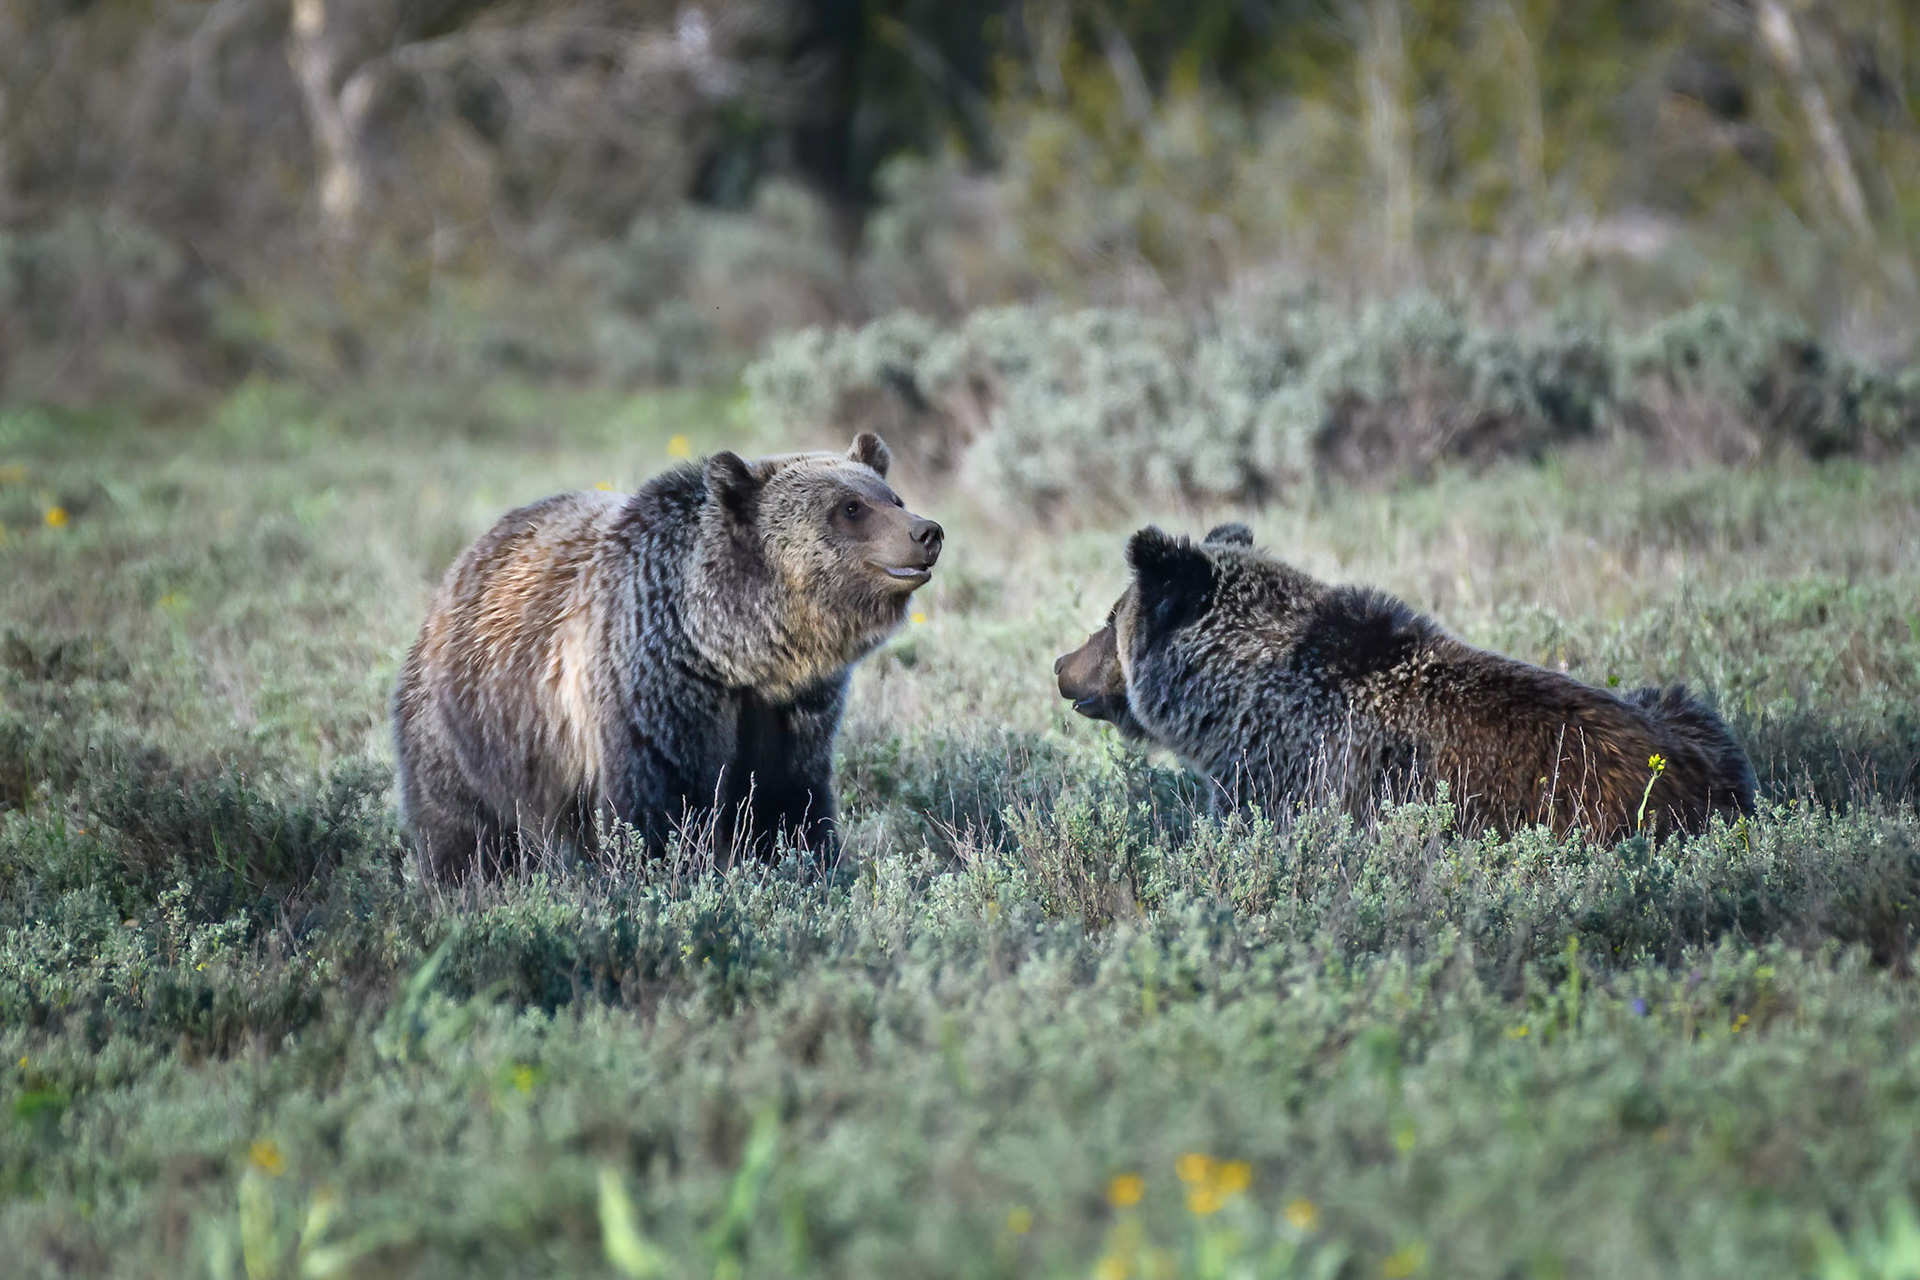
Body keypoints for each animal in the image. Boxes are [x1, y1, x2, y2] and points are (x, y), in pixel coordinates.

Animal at [393, 432, 942, 881]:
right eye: (850, 507)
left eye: (892, 497)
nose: (926, 531)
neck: (733, 650)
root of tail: (463, 561)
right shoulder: (655, 678)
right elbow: (662, 804)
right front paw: (669, 870)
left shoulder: (794, 707)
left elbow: (787, 801)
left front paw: (807, 863)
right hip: (473, 724)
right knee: (465, 827)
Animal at [1055, 522, 1755, 841]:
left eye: (1110, 618)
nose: (1062, 666)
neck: (1235, 700)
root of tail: (1716, 792)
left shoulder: (1289, 776)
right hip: (1688, 712)